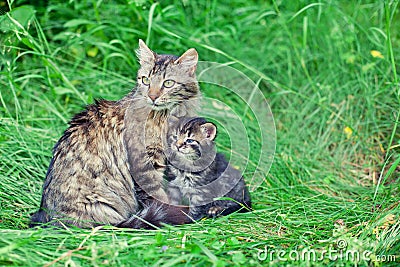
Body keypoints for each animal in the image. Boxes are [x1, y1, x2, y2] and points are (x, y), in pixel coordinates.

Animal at [28, 40, 200, 229]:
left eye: (168, 83)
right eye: (146, 80)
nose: (152, 96)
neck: (165, 117)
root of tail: (48, 217)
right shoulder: (144, 164)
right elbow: (157, 197)